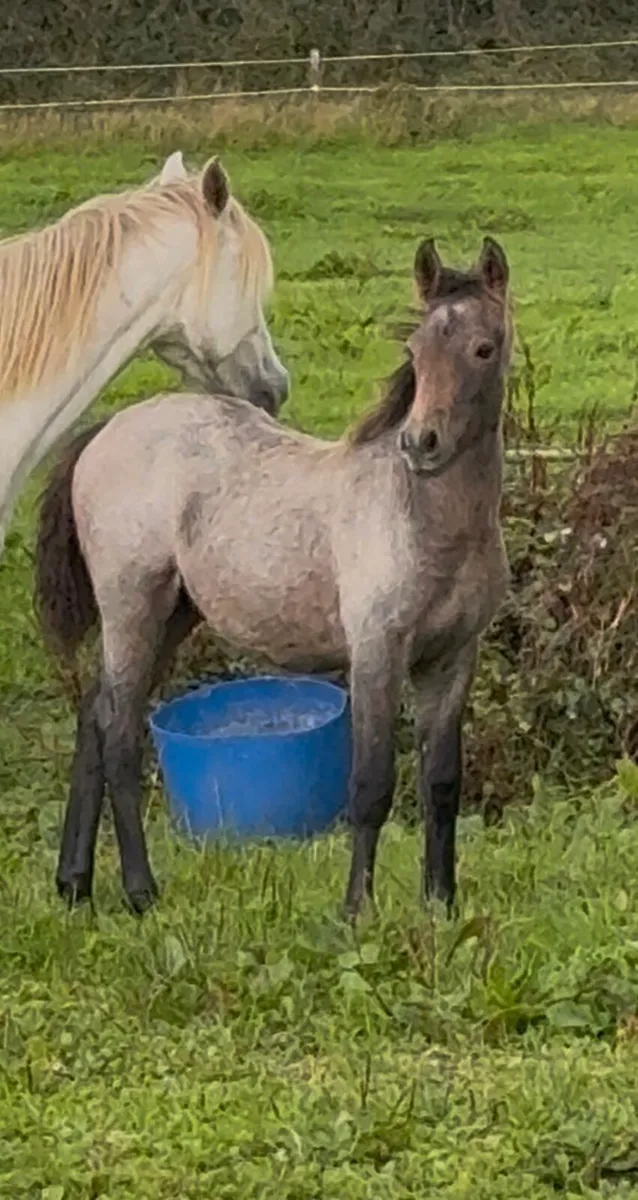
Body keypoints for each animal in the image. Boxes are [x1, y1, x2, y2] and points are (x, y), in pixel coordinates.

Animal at [34, 234, 512, 920]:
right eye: (415, 352)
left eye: (483, 348)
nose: (422, 443)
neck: (426, 519)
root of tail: (106, 430)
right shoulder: (376, 653)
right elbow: (371, 784)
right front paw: (355, 911)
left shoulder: (451, 659)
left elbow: (442, 782)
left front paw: (441, 904)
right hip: (132, 606)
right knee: (120, 733)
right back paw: (140, 891)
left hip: (172, 615)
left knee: (95, 717)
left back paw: (74, 884)